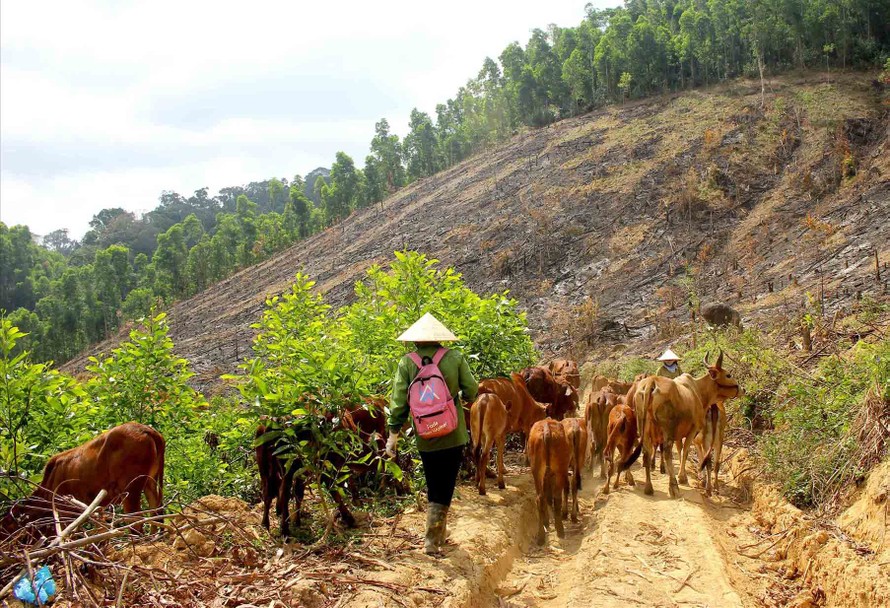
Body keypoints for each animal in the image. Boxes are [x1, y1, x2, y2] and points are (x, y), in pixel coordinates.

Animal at [0, 422, 164, 536]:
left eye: (6, 527)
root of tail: (148, 431)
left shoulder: (64, 512)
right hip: (149, 482)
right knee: (157, 511)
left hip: (130, 489)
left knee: (137, 522)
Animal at [528, 418, 568, 548]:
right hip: (559, 470)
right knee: (555, 498)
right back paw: (559, 530)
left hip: (537, 471)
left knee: (540, 498)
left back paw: (541, 536)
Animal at [636, 350, 740, 496]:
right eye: (728, 375)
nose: (742, 390)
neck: (698, 391)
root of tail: (652, 381)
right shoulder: (693, 429)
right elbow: (685, 451)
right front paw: (682, 477)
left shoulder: (679, 434)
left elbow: (680, 450)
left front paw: (683, 474)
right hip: (668, 431)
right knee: (667, 452)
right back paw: (673, 486)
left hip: (643, 428)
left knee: (646, 453)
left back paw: (649, 487)